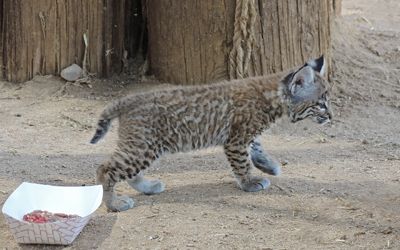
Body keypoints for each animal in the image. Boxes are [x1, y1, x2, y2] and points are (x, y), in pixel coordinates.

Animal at [90, 55, 332, 211]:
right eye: (320, 104)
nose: (331, 116)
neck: (274, 94)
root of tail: (128, 99)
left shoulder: (246, 135)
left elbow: (257, 147)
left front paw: (268, 165)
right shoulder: (236, 139)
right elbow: (242, 163)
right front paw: (249, 183)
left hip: (146, 146)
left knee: (128, 171)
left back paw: (148, 187)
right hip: (143, 146)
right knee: (105, 169)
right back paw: (115, 204)